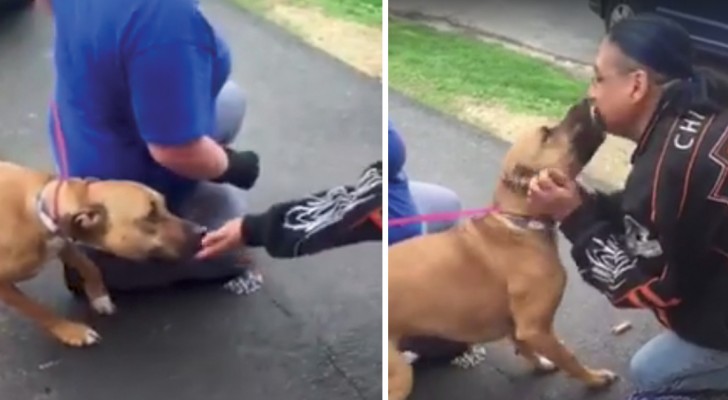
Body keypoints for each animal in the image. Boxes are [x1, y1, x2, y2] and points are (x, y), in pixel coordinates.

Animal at [0, 161, 205, 346]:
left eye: (164, 205)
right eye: (150, 215)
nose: (202, 231)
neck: (40, 211)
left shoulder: (63, 243)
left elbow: (90, 266)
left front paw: (100, 297)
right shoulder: (4, 286)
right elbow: (38, 310)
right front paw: (71, 331)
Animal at [390, 98, 616, 398]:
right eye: (547, 134)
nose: (587, 99)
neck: (519, 220)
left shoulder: (519, 327)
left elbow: (527, 348)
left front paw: (543, 363)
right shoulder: (535, 327)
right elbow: (569, 357)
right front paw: (594, 378)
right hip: (399, 375)